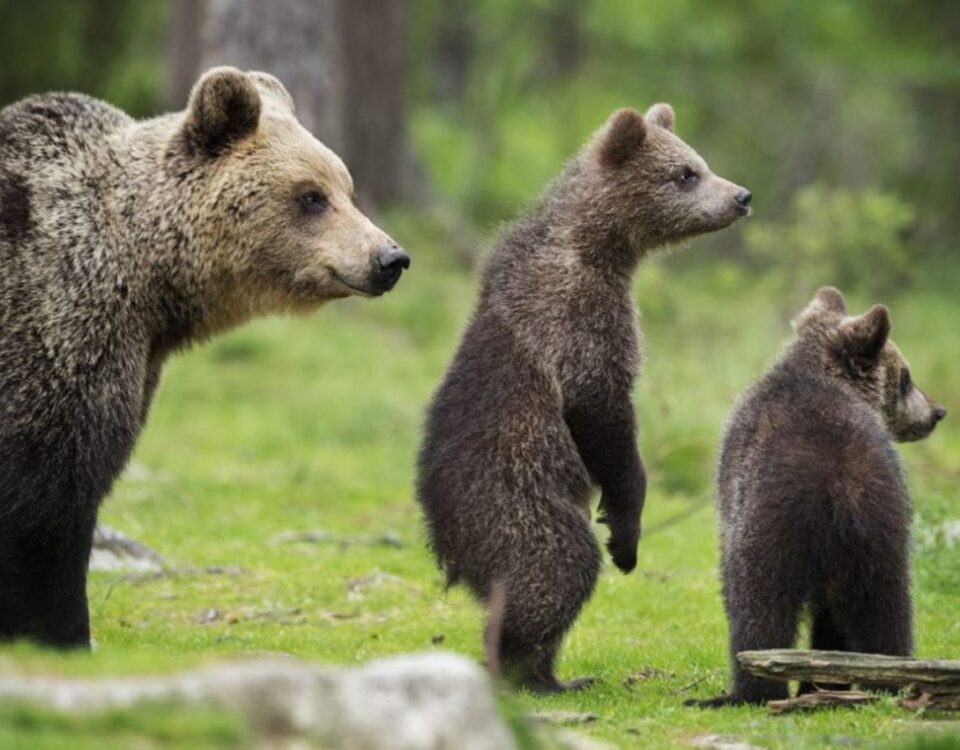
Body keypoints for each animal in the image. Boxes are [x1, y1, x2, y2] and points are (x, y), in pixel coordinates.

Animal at [0, 66, 409, 648]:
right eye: (311, 196)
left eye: (346, 189)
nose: (390, 258)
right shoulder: (56, 322)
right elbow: (51, 490)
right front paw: (63, 630)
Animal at [416, 104, 751, 693]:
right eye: (685, 173)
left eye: (700, 162)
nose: (741, 195)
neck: (601, 248)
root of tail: (447, 544)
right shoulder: (578, 316)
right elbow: (602, 413)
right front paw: (625, 529)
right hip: (515, 497)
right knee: (555, 567)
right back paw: (532, 670)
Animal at [688, 287, 946, 708]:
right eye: (907, 378)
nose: (938, 411)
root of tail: (837, 483)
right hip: (883, 525)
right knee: (887, 608)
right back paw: (885, 678)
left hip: (770, 524)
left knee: (758, 605)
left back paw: (747, 690)